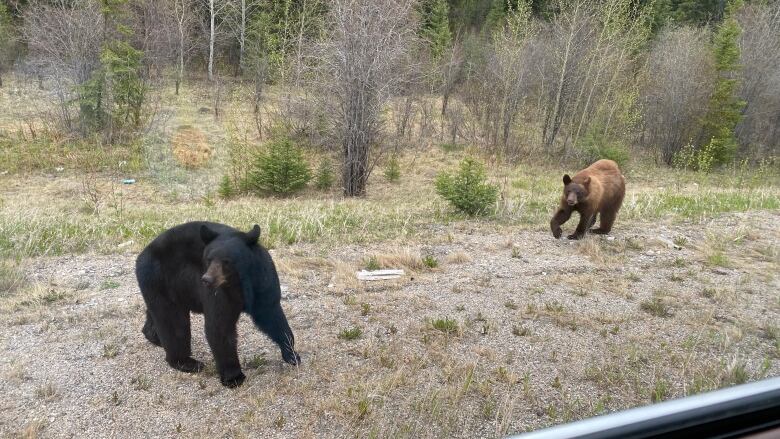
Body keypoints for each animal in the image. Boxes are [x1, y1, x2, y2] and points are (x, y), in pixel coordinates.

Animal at [136, 223, 300, 388]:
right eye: (208, 259)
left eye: (226, 261)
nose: (206, 279)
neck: (238, 282)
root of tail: (143, 253)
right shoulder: (218, 293)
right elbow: (220, 325)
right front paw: (234, 377)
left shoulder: (262, 282)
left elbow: (272, 315)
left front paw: (291, 354)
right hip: (161, 278)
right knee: (174, 321)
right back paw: (186, 362)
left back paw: (153, 336)